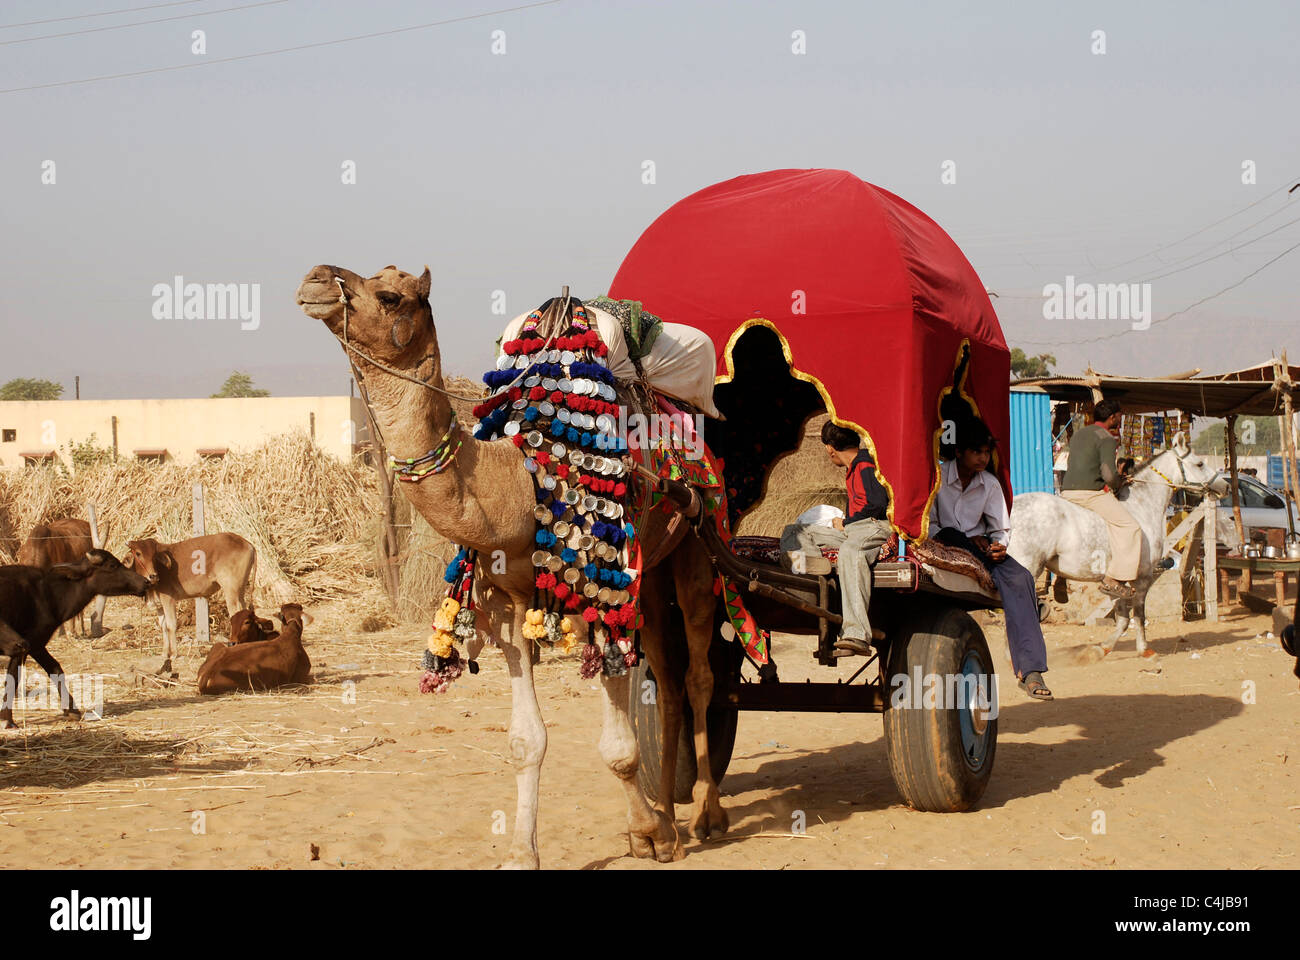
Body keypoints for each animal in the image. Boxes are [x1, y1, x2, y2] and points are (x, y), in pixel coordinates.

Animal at [125, 528, 257, 671]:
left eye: (154, 556)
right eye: (138, 553)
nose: (153, 576)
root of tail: (246, 543)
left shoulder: (168, 600)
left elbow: (171, 625)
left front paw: (173, 654)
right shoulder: (159, 605)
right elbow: (163, 626)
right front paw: (164, 653)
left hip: (231, 591)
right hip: (240, 591)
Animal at [297, 264, 733, 868]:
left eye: (389, 294)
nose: (315, 279)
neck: (520, 483)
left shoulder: (599, 594)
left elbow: (619, 747)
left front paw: (646, 832)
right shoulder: (507, 603)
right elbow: (527, 740)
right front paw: (525, 851)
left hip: (697, 544)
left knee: (697, 674)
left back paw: (705, 816)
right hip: (651, 573)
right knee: (666, 682)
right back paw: (670, 811)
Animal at [1003, 434, 1227, 658]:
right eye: (1199, 464)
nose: (1224, 486)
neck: (1141, 507)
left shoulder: (1118, 583)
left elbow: (1123, 619)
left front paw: (1100, 649)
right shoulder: (1142, 578)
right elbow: (1138, 616)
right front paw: (1144, 650)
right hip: (1030, 569)